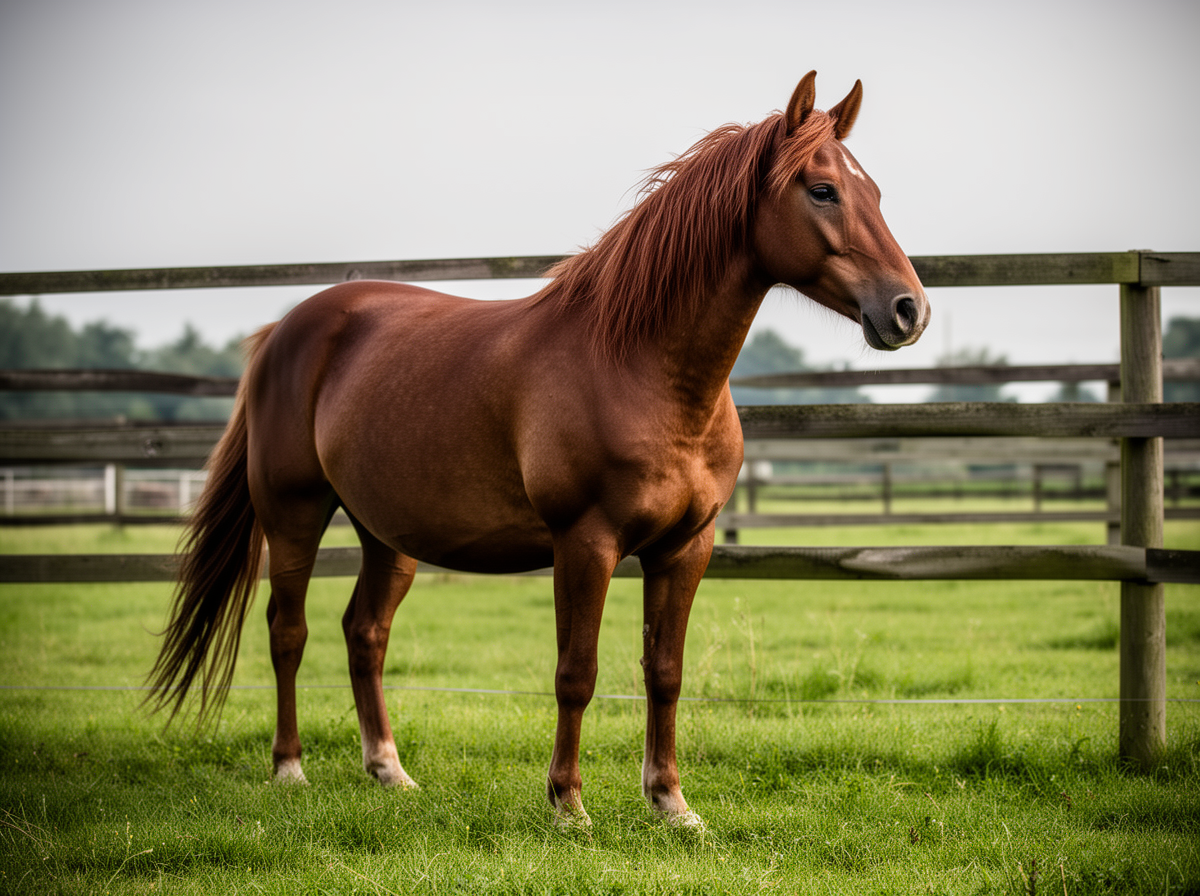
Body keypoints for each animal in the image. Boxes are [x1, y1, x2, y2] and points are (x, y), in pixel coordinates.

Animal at [146, 71, 929, 829]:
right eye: (822, 190)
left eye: (874, 191)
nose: (909, 311)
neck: (641, 367)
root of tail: (286, 330)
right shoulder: (585, 542)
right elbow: (575, 673)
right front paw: (568, 805)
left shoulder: (686, 548)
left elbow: (665, 672)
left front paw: (672, 804)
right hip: (295, 514)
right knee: (288, 631)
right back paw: (289, 768)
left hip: (385, 533)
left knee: (364, 632)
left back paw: (389, 771)